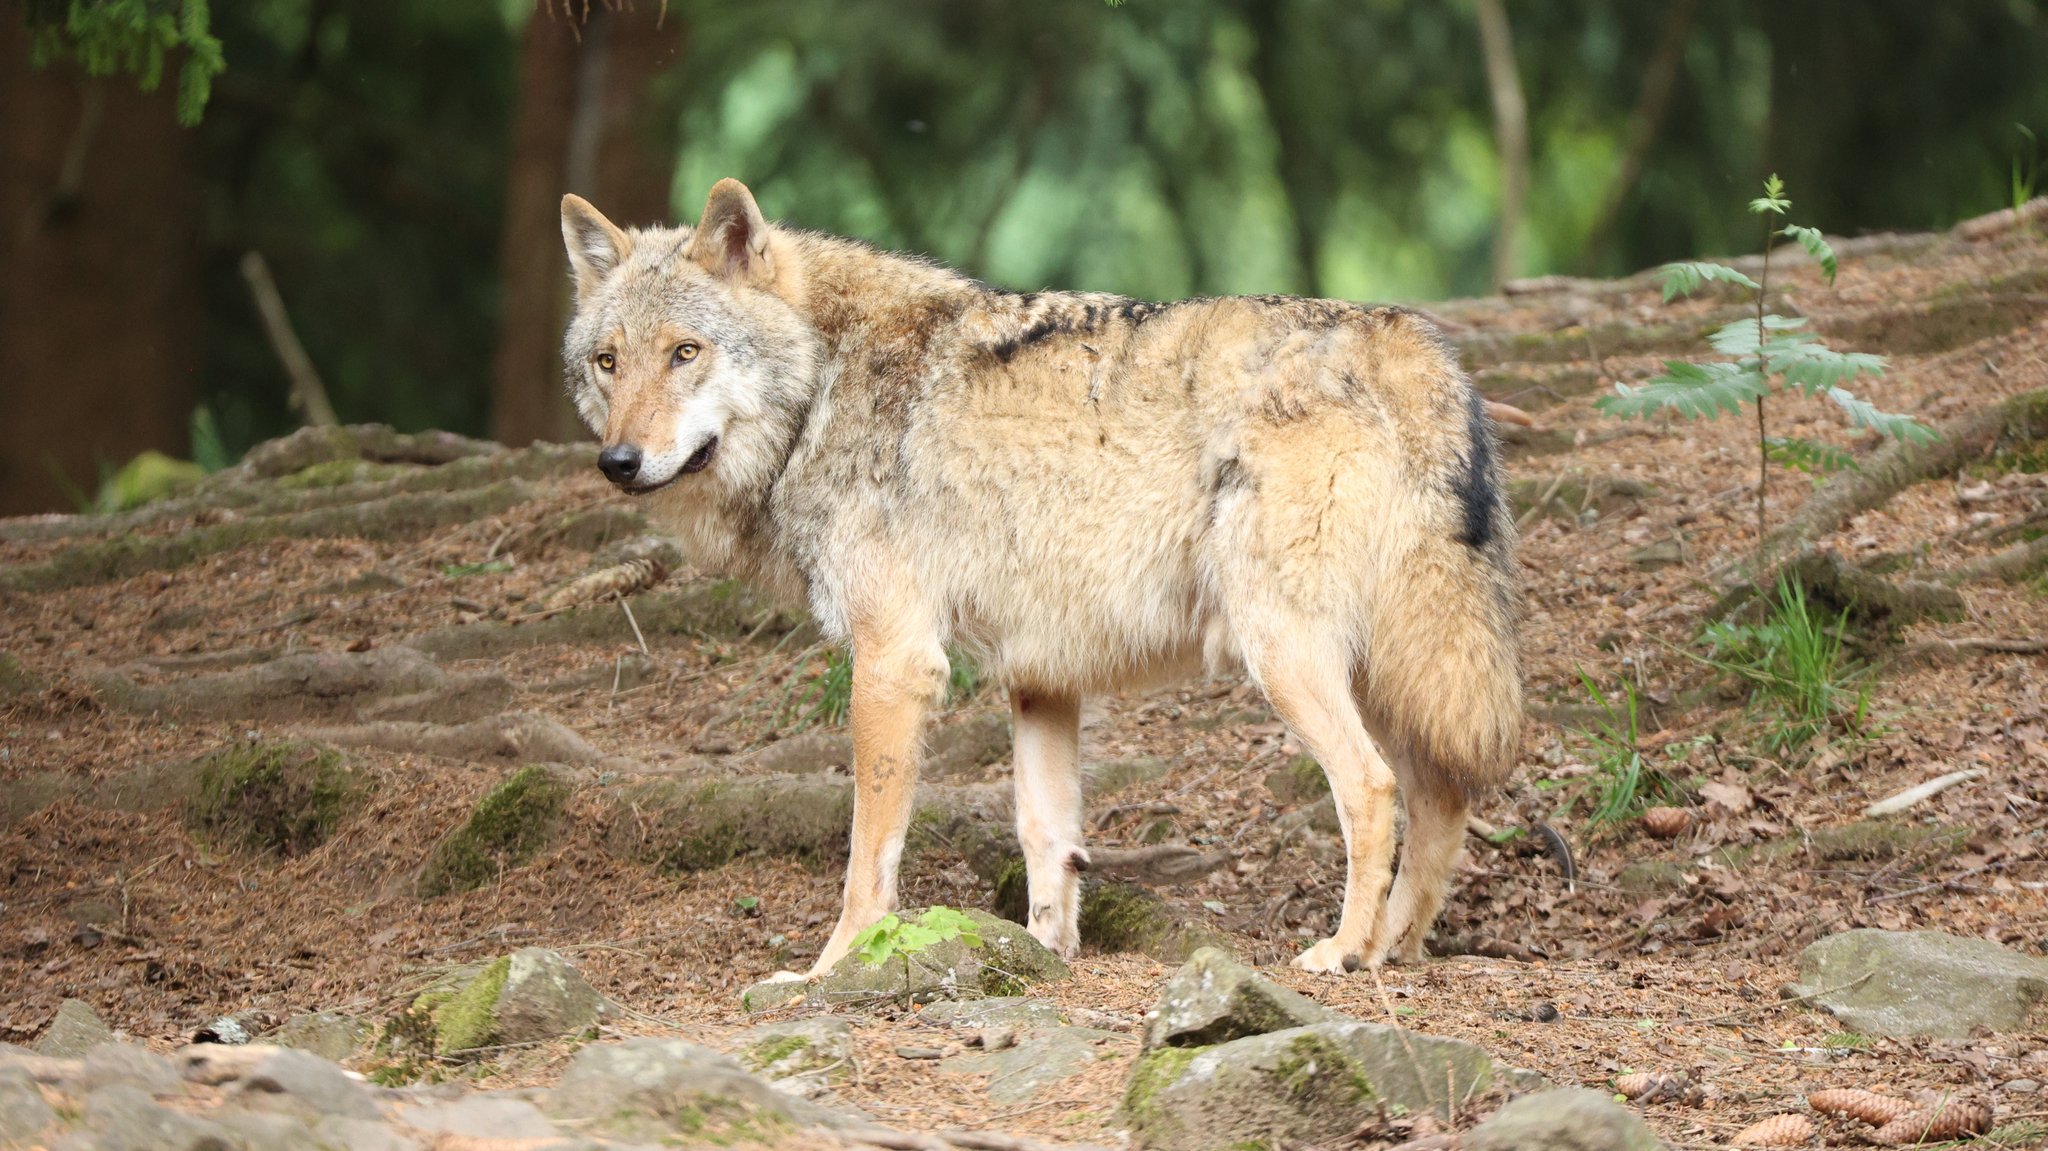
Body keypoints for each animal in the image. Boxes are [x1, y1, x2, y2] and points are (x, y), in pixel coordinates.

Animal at [557, 181, 1523, 974]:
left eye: (685, 352)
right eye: (609, 361)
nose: (618, 462)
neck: (824, 382)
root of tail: (1411, 345)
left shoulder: (896, 662)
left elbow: (869, 852)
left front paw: (832, 970)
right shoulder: (1042, 675)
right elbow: (1045, 834)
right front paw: (1044, 954)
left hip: (1288, 656)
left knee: (1373, 787)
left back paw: (1344, 950)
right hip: (1390, 667)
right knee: (1440, 795)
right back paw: (1395, 944)